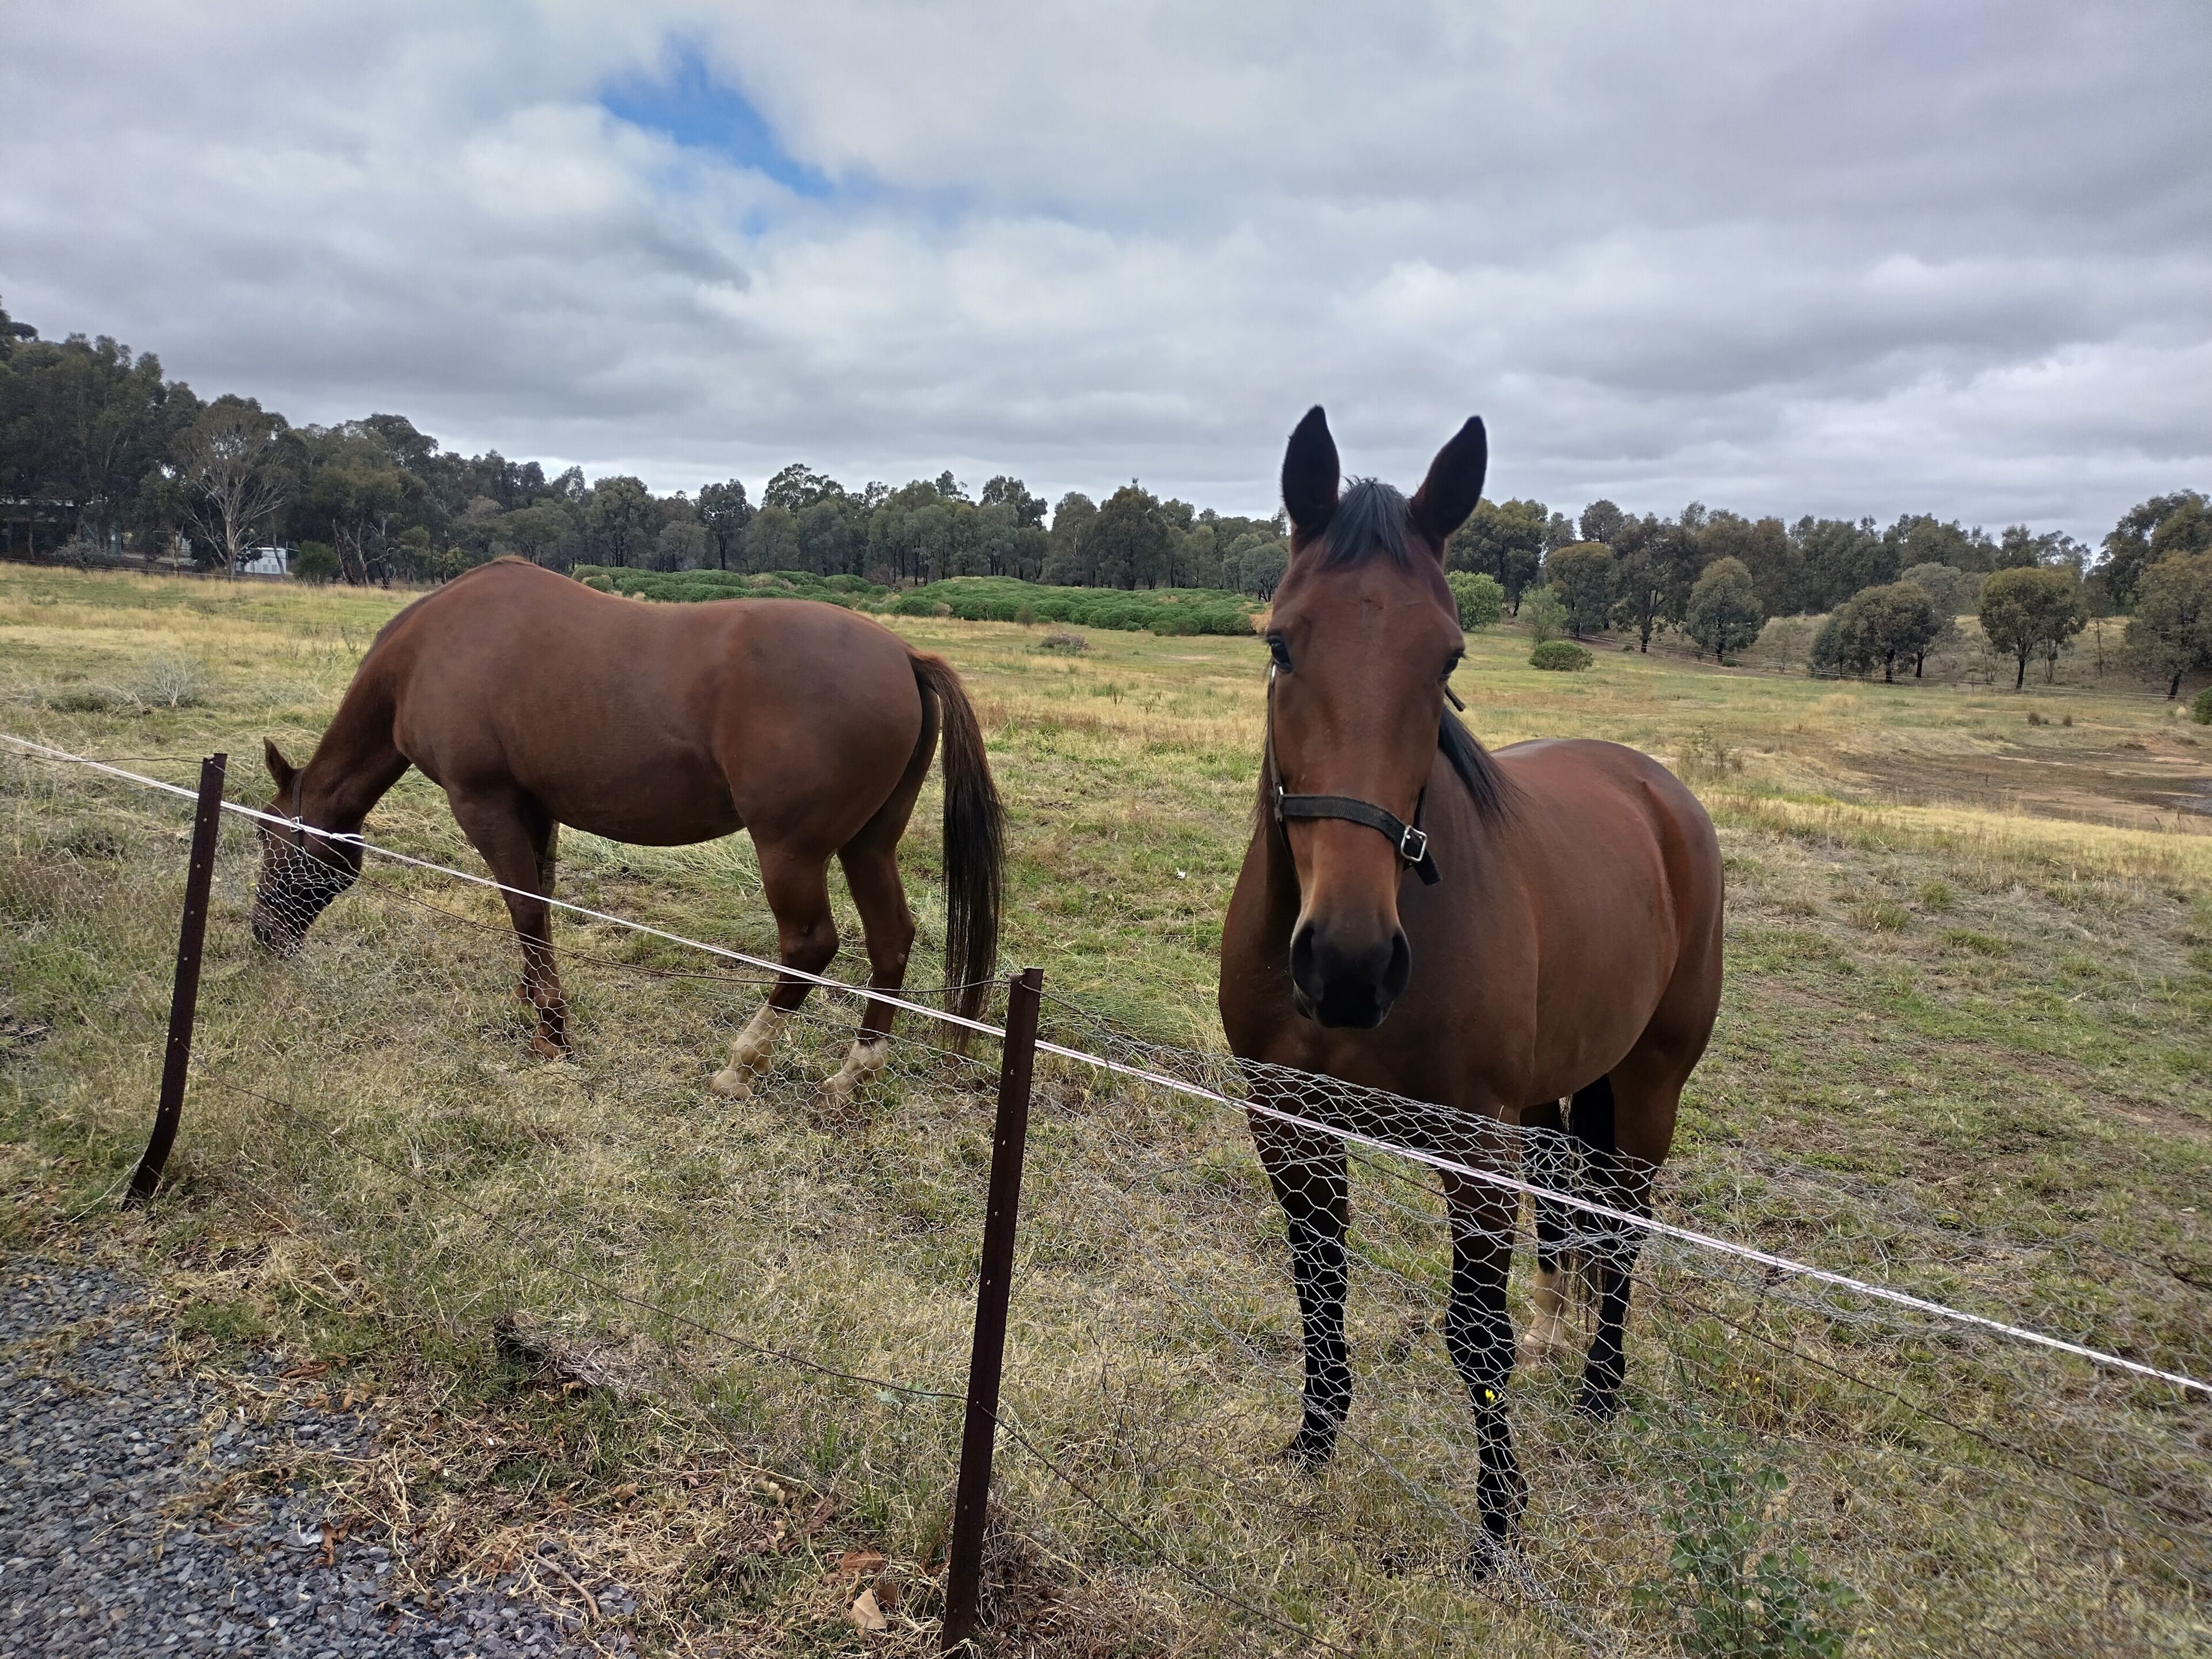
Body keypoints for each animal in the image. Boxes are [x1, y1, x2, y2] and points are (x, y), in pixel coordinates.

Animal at [251, 557, 1003, 1103]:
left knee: (810, 947)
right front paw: (533, 1004)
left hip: (791, 853)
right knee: (891, 941)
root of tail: (903, 655)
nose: (262, 938)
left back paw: (741, 1066)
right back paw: (852, 1077)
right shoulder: (535, 807)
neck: (429, 651)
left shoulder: (483, 802)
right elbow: (541, 902)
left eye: (265, 838)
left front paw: (555, 1031)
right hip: (867, 846)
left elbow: (524, 906)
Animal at [1217, 409, 1724, 1556]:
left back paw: (1599, 1392)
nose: (1349, 965)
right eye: (1280, 642)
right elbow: (1319, 1284)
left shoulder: (1472, 1150)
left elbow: (1472, 1337)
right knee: (1573, 1224)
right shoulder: (1289, 1120)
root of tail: (1658, 789)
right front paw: (1313, 1445)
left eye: (1446, 654)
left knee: (1624, 1231)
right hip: (1551, 1096)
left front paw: (1496, 1528)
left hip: (1649, 1085)